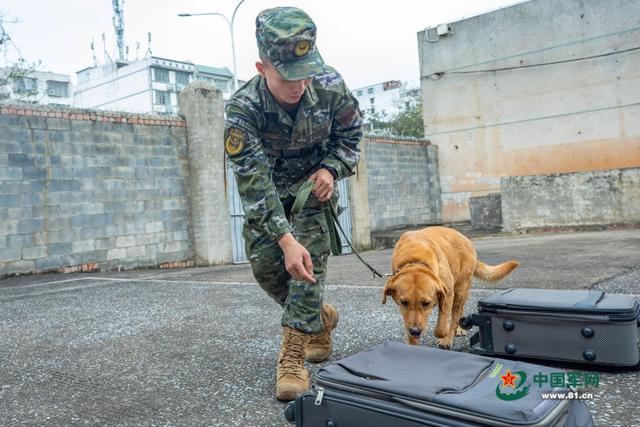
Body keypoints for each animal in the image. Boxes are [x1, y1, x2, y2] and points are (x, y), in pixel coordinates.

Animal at [382, 227, 516, 348]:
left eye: (426, 303)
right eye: (403, 302)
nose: (415, 331)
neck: (415, 260)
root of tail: (465, 238)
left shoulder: (448, 294)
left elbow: (442, 327)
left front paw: (444, 336)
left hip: (461, 289)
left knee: (456, 314)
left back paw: (452, 334)